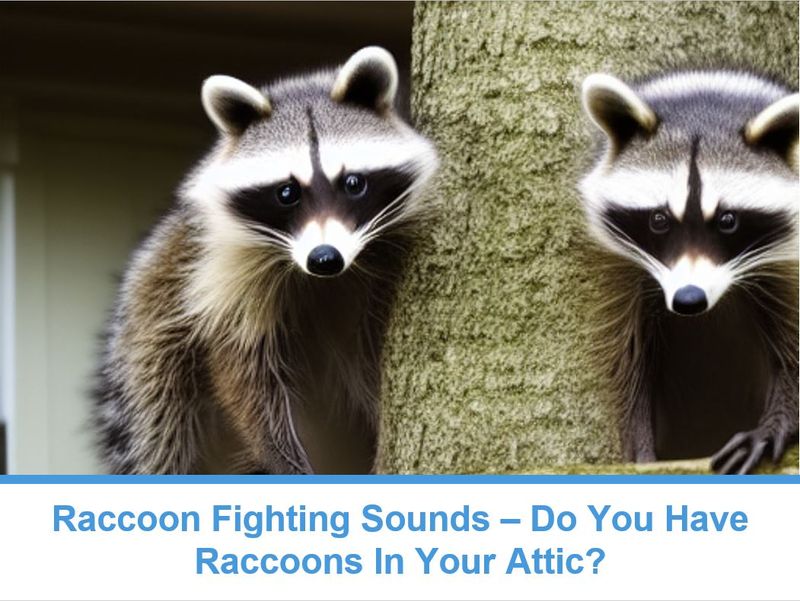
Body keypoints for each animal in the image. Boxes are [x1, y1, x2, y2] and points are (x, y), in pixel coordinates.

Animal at [94, 47, 438, 474]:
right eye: (287, 192)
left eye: (353, 183)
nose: (325, 258)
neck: (324, 280)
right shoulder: (220, 272)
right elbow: (243, 370)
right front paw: (280, 454)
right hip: (152, 302)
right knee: (154, 422)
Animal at [579, 70, 799, 473]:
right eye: (659, 219)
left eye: (728, 220)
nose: (689, 299)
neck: (709, 96)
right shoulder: (627, 277)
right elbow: (631, 362)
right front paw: (641, 446)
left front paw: (779, 419)